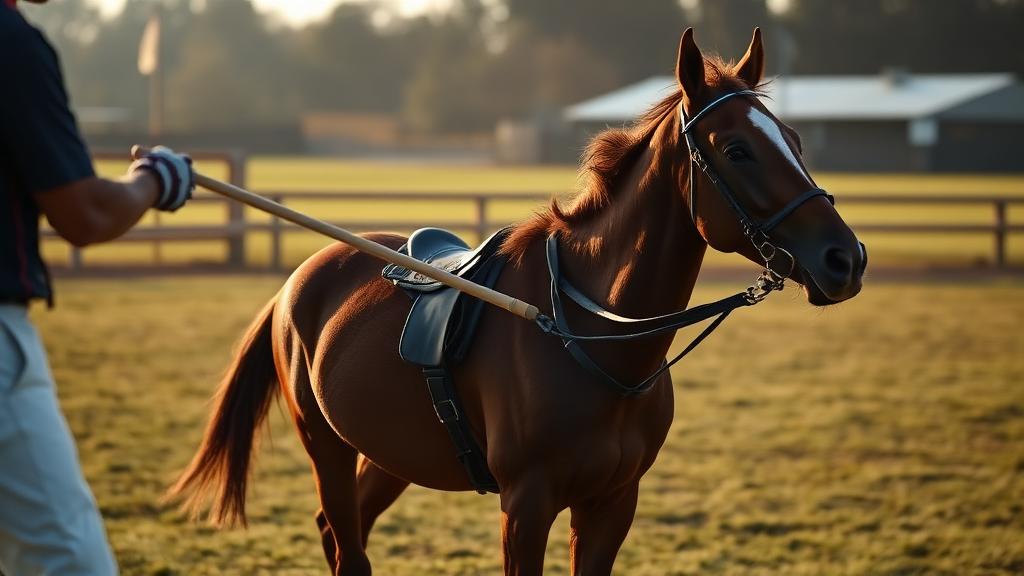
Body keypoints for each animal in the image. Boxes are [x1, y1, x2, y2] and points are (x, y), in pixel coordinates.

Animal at [168, 27, 865, 575]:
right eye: (737, 149)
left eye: (796, 141)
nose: (846, 258)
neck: (590, 334)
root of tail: (300, 279)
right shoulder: (526, 507)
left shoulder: (612, 505)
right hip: (326, 444)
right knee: (347, 544)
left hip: (390, 452)